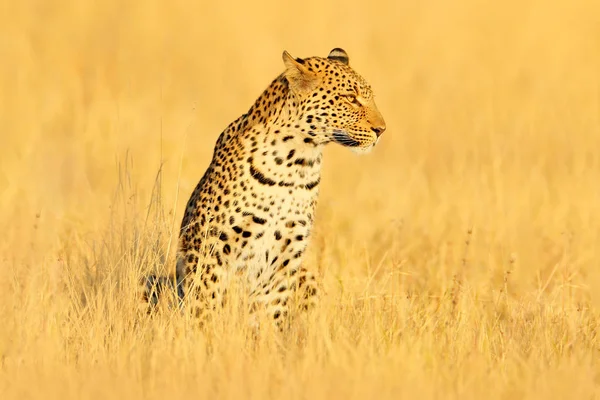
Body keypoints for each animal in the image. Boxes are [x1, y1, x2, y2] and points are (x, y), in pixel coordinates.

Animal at [140, 47, 384, 328]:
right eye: (350, 98)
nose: (381, 129)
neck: (297, 164)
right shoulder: (210, 250)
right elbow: (204, 307)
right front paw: (204, 335)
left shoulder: (286, 259)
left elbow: (270, 315)